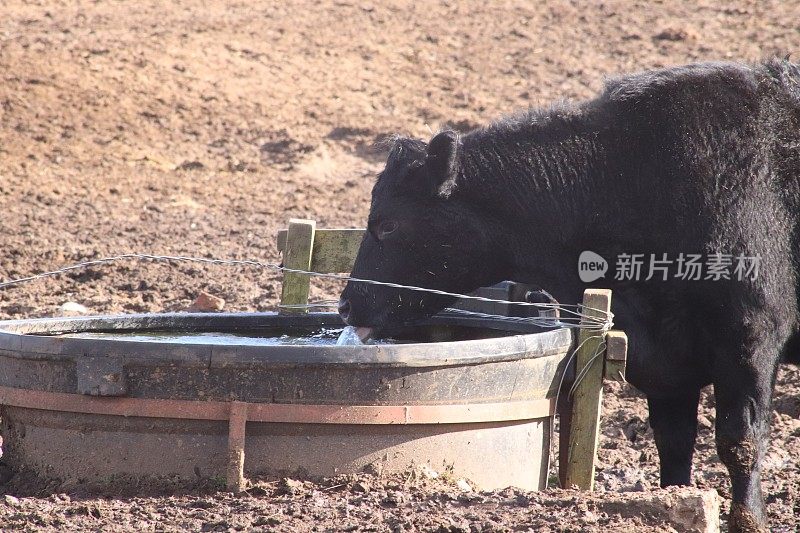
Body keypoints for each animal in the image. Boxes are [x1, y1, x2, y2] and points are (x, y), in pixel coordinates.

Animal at [340, 59, 800, 532]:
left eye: (388, 224)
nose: (345, 304)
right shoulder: (667, 364)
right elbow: (674, 445)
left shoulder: (751, 337)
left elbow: (740, 441)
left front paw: (749, 519)